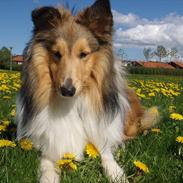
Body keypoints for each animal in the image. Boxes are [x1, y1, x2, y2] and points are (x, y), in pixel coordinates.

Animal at [16, 0, 158, 182]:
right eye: (57, 54)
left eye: (83, 54)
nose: (67, 90)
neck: (72, 104)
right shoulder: (49, 141)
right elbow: (47, 161)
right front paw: (49, 176)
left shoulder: (102, 133)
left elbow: (106, 154)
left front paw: (116, 174)